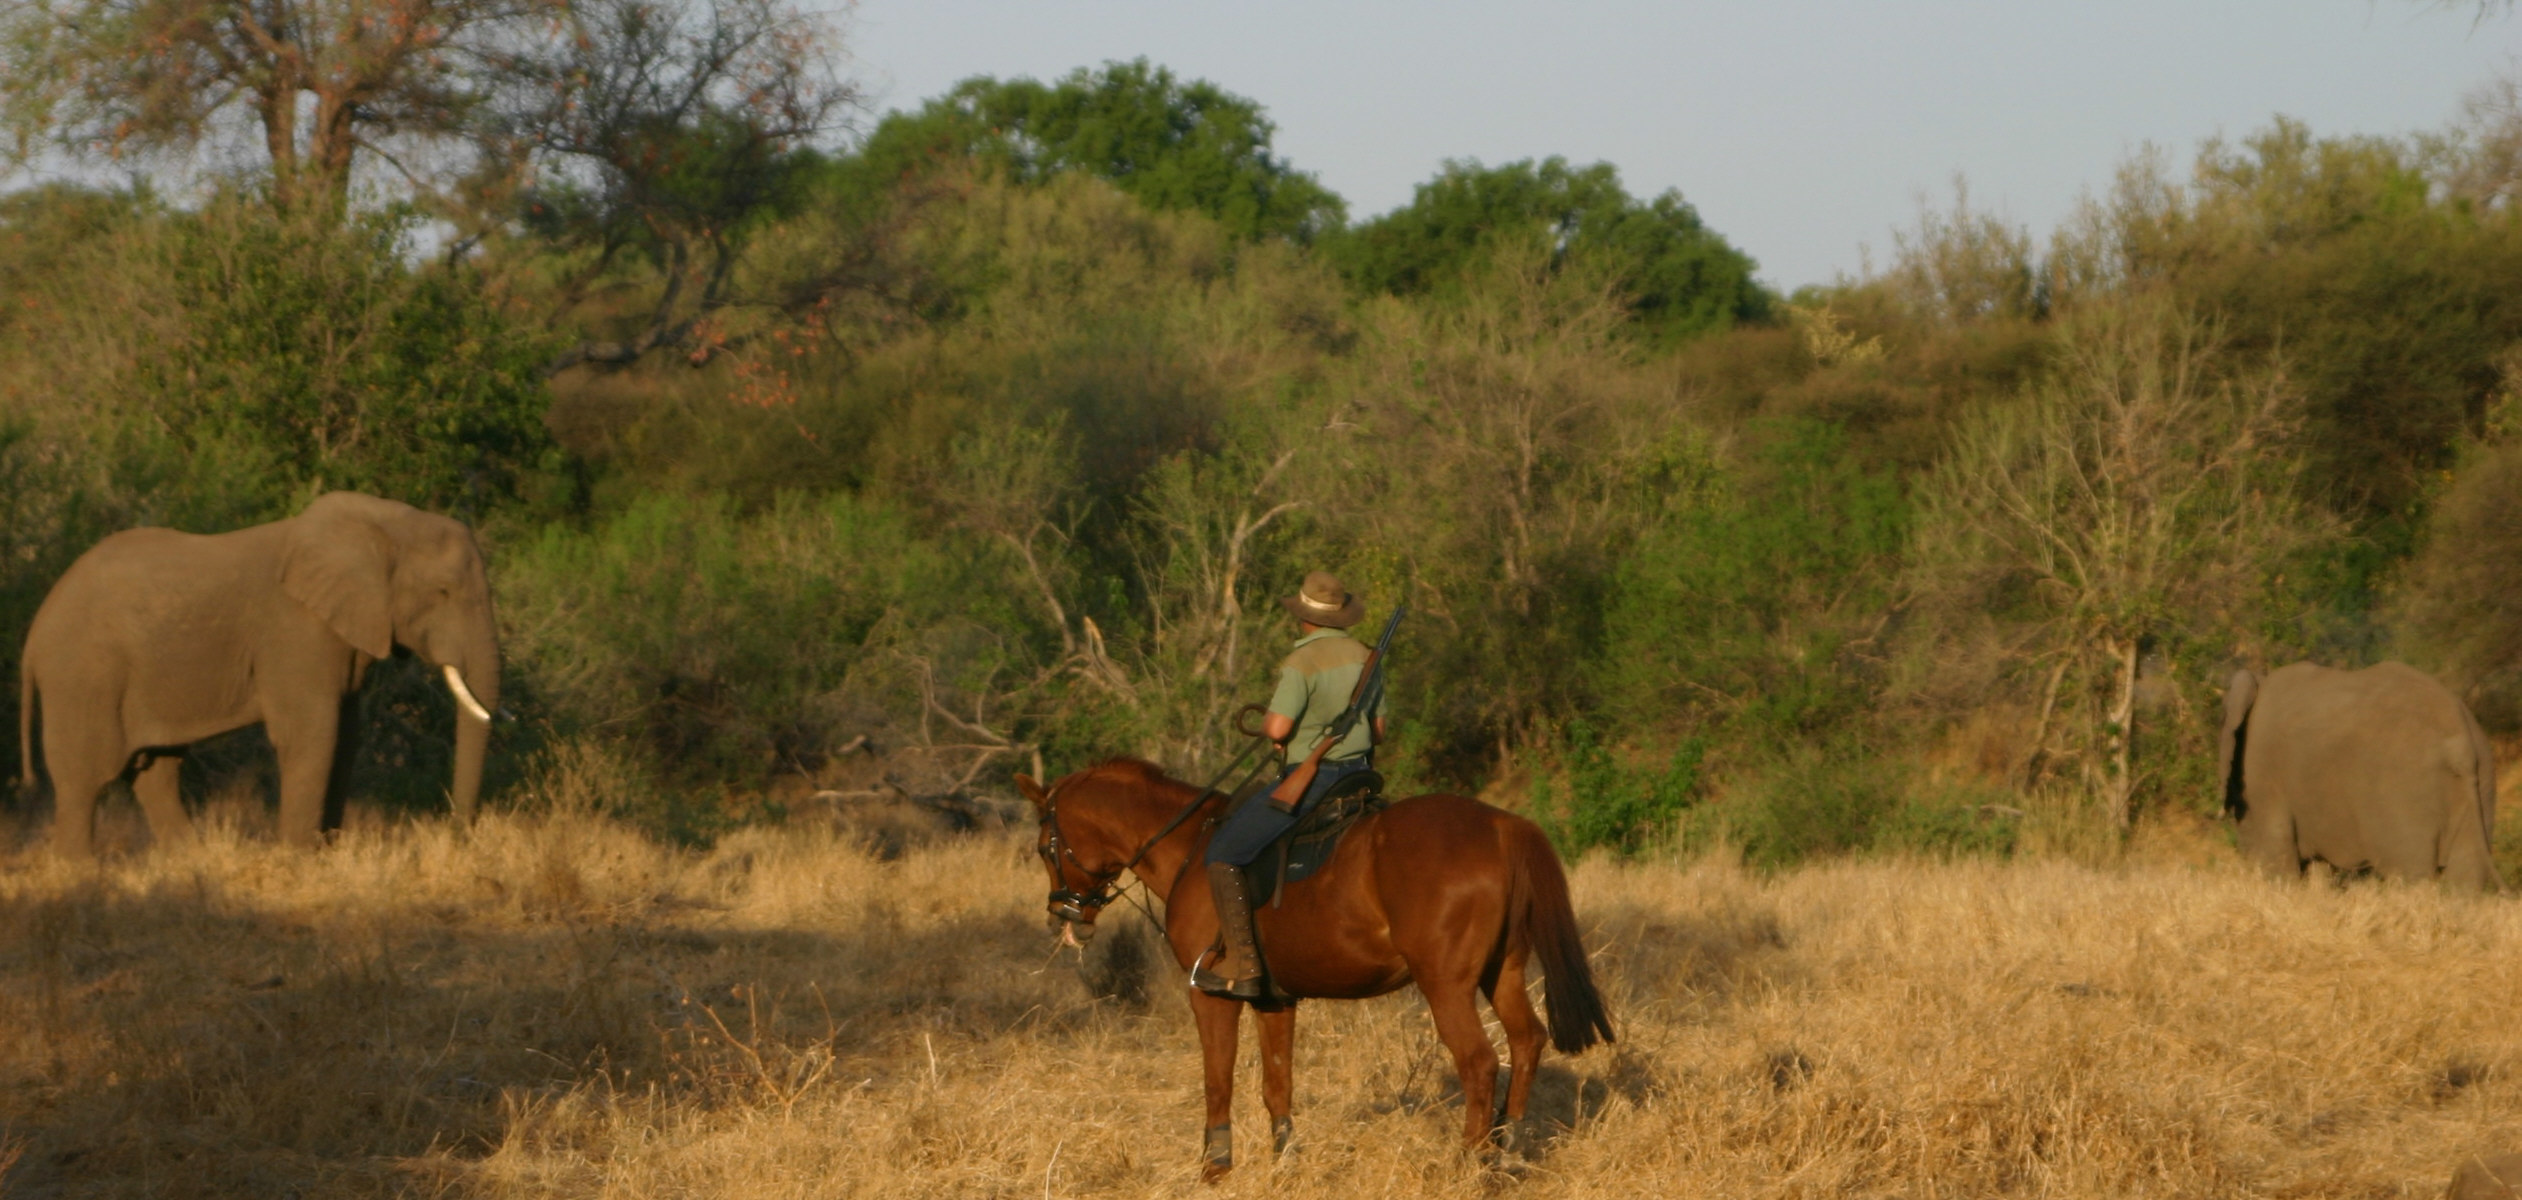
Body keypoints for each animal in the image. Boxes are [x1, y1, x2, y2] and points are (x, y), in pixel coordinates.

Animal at [15, 491, 501, 857]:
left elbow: (345, 736)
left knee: (157, 771)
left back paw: (192, 861)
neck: (384, 524)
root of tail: (33, 636)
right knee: (85, 778)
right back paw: (80, 873)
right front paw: (300, 858)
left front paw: (326, 853)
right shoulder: (295, 628)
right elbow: (313, 732)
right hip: (82, 675)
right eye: (443, 592)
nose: (457, 834)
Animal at [1008, 766, 1614, 1174]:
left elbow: (1217, 1079)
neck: (1189, 847)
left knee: (1480, 1063)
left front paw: (1215, 1167)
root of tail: (1502, 826)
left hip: (1446, 988)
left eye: (1043, 846)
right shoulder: (1274, 999)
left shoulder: (1211, 995)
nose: (1064, 918)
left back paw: (1467, 1163)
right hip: (1501, 973)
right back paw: (1506, 1153)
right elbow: (1278, 1082)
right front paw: (1284, 1162)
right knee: (1527, 1041)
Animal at [2219, 660, 2491, 887]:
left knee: (2409, 876)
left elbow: (2277, 858)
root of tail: (2460, 744)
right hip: (2481, 779)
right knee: (2466, 876)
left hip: (2402, 794)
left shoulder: (2264, 772)